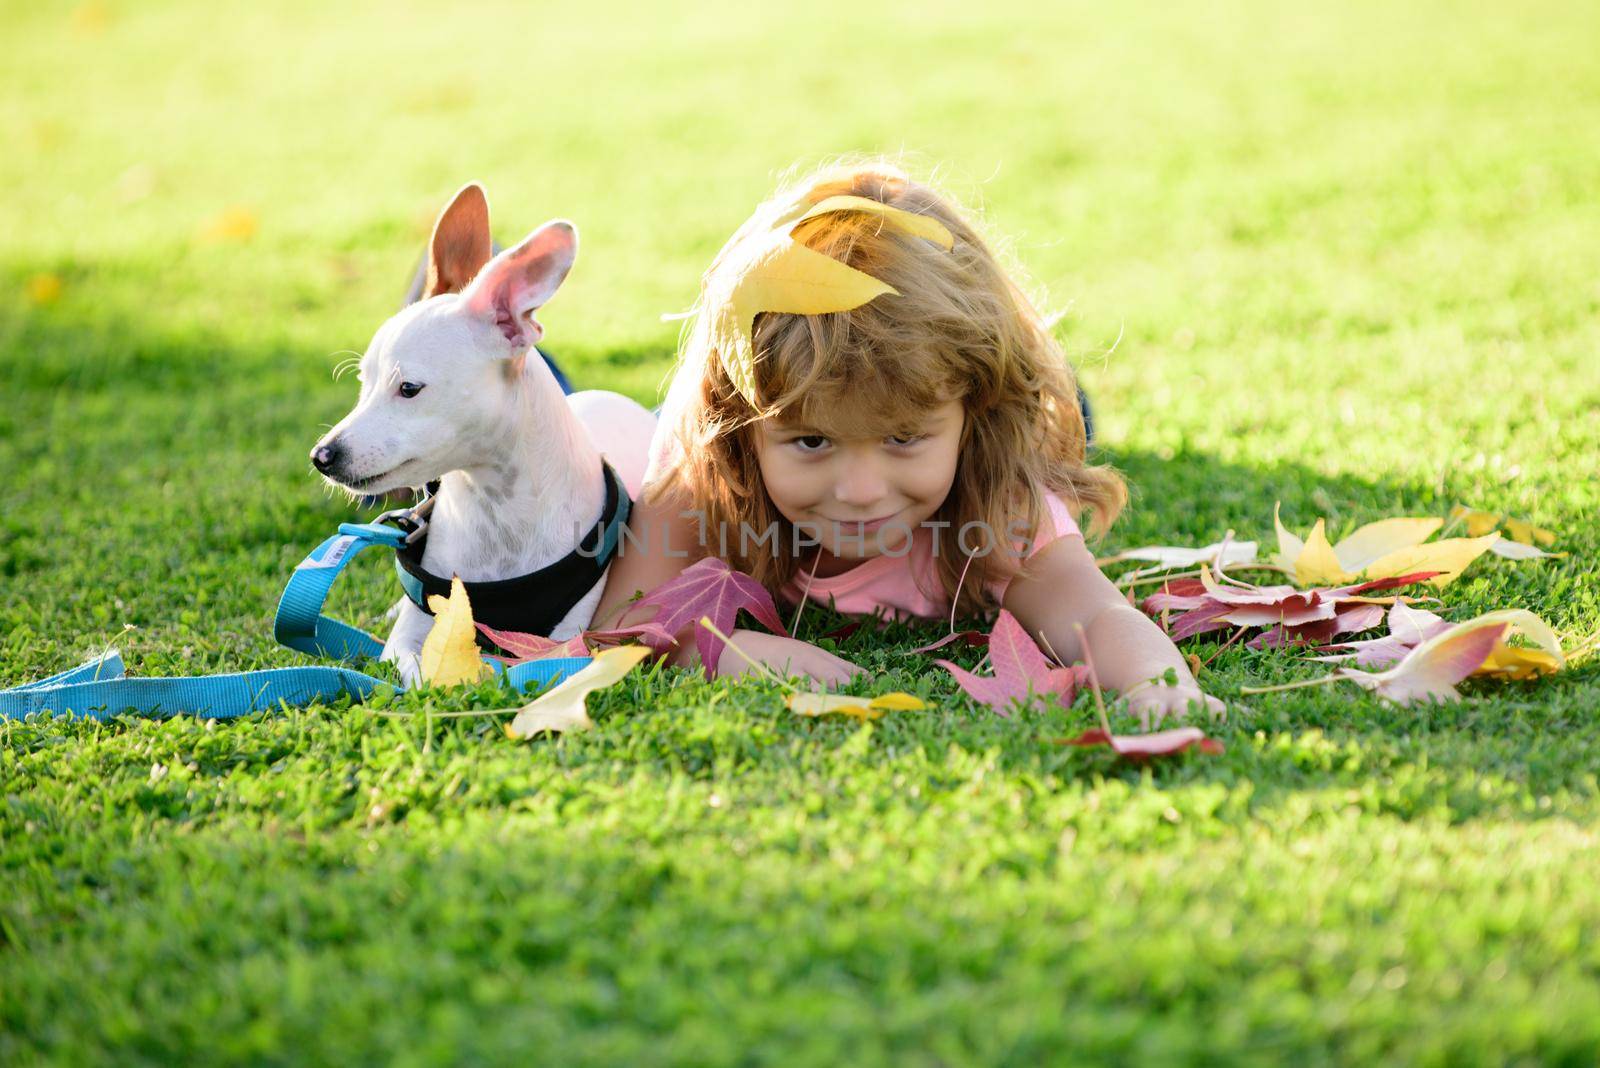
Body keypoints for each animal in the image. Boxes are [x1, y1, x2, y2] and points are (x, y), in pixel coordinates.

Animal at [312, 183, 656, 684]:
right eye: (364, 382)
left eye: (409, 389)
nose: (322, 456)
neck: (497, 509)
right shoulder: (414, 630)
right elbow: (414, 665)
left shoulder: (571, 637)